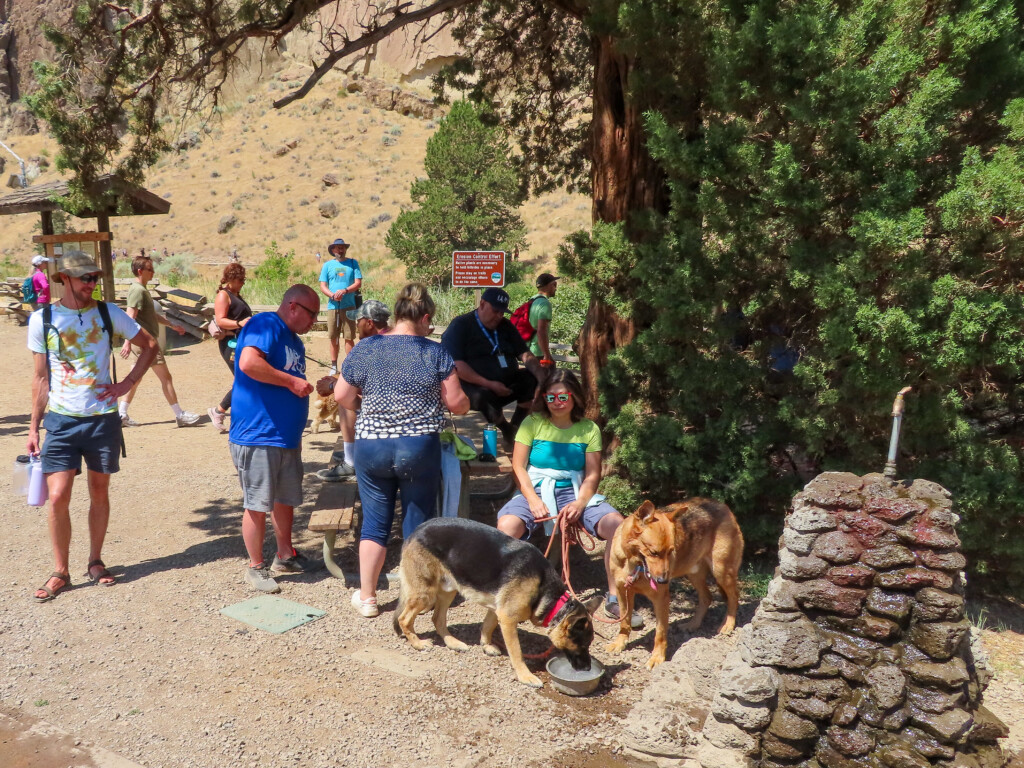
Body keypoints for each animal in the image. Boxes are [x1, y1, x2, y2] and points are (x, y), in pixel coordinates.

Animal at [391, 520, 598, 688]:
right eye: (582, 644)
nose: (588, 668)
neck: (545, 590)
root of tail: (416, 530)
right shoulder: (508, 619)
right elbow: (517, 652)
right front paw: (525, 676)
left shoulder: (498, 610)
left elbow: (487, 626)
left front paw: (486, 645)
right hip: (425, 594)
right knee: (404, 619)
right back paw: (418, 643)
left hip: (448, 590)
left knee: (437, 618)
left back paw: (453, 642)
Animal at [606, 501, 745, 671]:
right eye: (653, 553)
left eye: (671, 551)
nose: (663, 581)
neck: (633, 564)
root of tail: (723, 506)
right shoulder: (623, 592)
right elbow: (624, 622)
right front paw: (620, 643)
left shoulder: (661, 599)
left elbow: (660, 633)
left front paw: (657, 658)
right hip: (694, 573)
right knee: (707, 597)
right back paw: (693, 624)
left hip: (721, 572)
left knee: (733, 597)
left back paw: (728, 624)